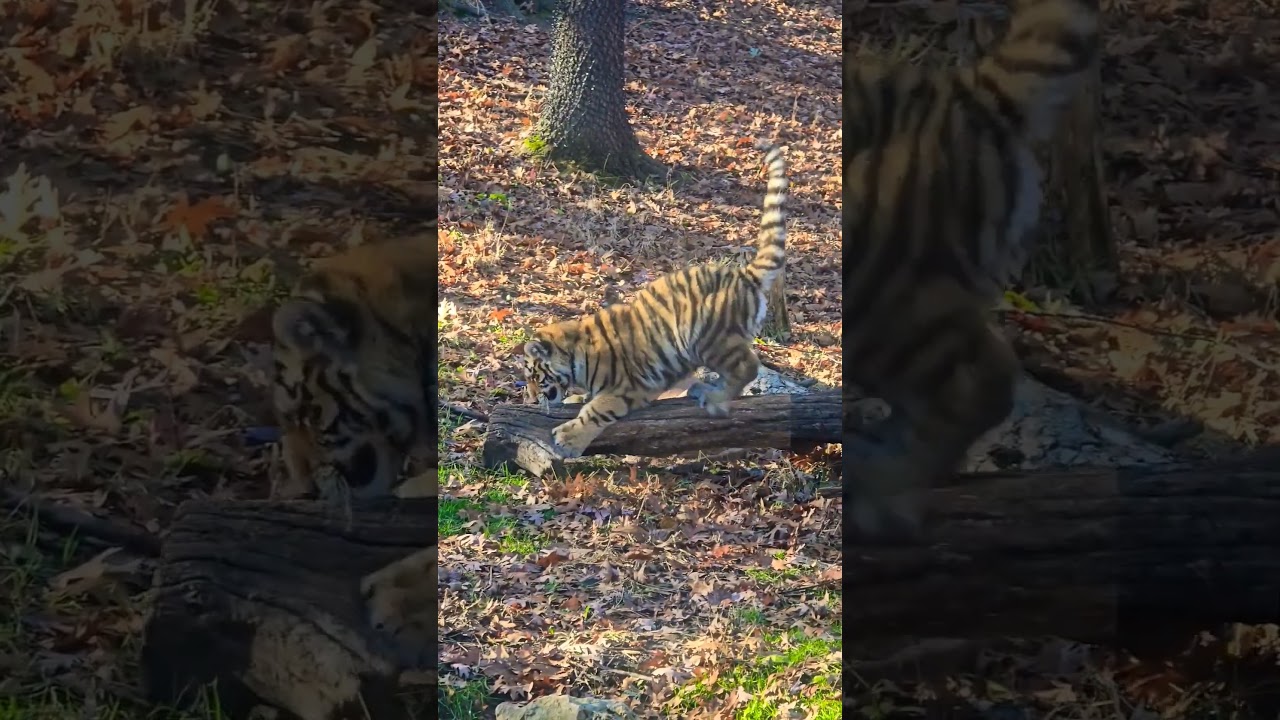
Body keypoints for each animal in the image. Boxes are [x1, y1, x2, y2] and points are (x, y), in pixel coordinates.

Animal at [518, 140, 788, 460]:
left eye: (535, 376)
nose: (531, 401)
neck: (575, 356)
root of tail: (744, 274)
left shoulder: (627, 388)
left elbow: (595, 411)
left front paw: (568, 439)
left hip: (707, 336)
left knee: (748, 367)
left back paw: (714, 400)